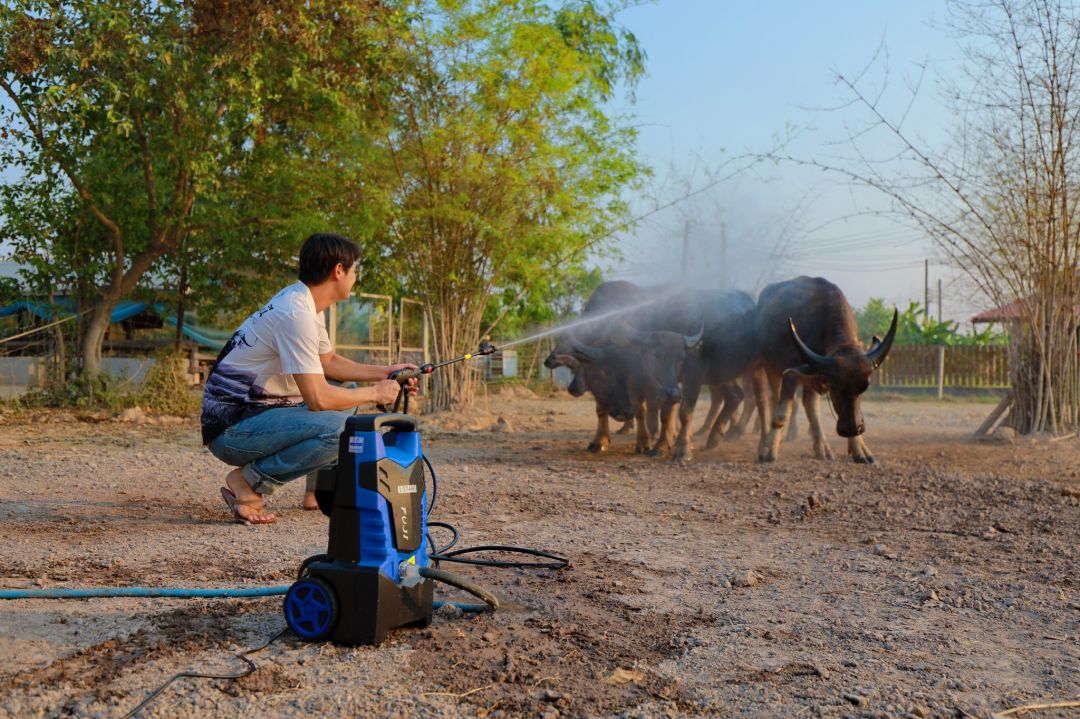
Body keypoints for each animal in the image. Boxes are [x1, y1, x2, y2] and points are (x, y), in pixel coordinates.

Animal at [751, 272, 894, 462]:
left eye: (864, 388)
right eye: (834, 389)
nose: (852, 429)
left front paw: (860, 449)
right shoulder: (792, 372)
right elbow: (781, 412)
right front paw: (769, 451)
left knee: (810, 405)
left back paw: (822, 448)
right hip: (770, 366)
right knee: (773, 400)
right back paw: (766, 443)